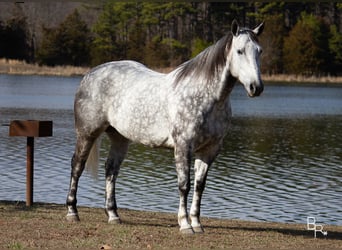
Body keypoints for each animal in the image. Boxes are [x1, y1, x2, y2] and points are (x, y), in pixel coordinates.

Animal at [66, 20, 264, 233]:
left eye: (259, 51)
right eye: (239, 51)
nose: (256, 87)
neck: (206, 97)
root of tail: (90, 74)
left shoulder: (210, 149)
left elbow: (199, 186)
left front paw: (197, 223)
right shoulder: (183, 145)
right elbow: (184, 185)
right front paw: (185, 224)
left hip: (119, 138)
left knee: (111, 170)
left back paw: (113, 215)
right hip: (87, 134)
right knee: (77, 166)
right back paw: (72, 212)